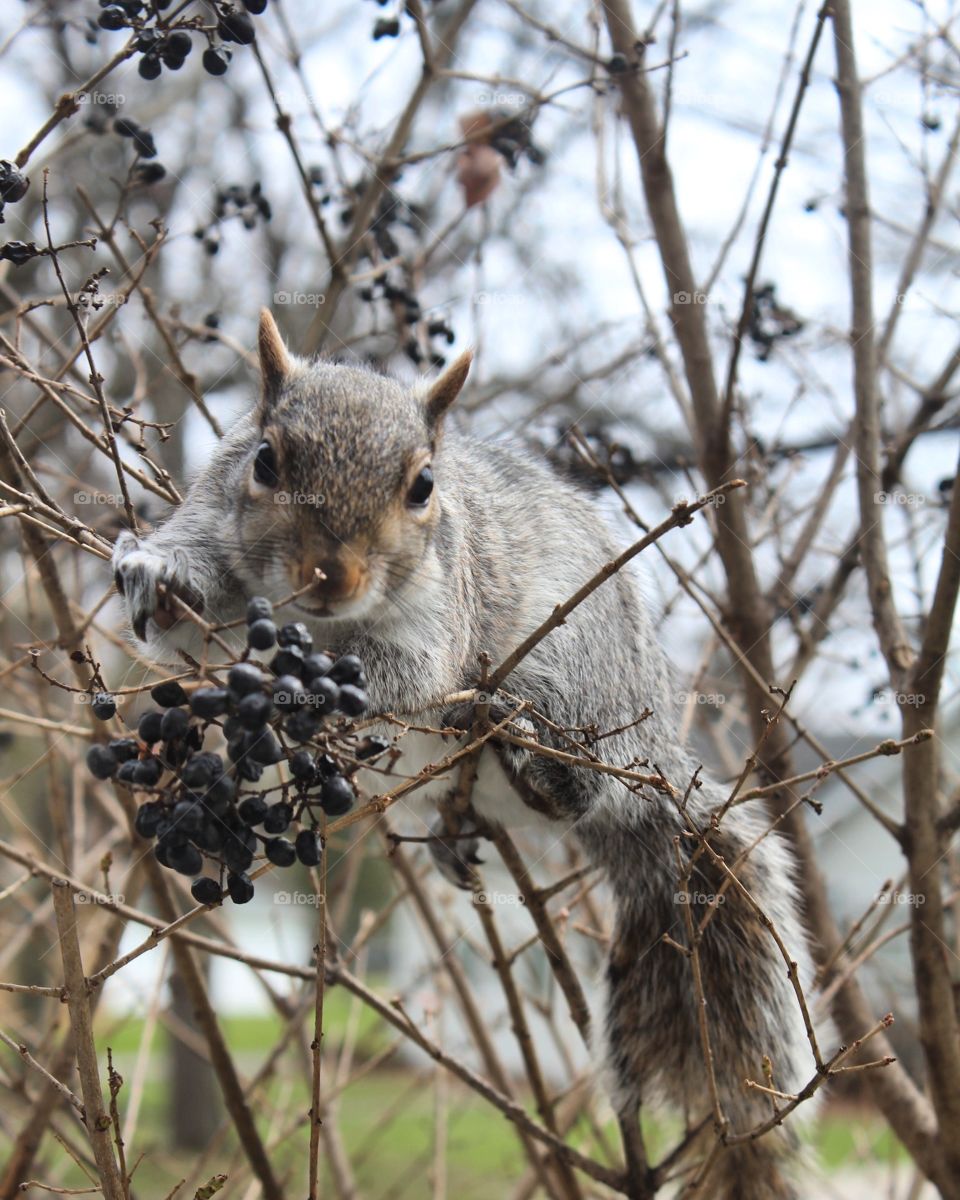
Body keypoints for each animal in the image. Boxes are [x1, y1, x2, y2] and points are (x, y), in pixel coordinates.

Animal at [113, 310, 818, 1200]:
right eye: (265, 460)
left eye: (423, 487)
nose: (331, 576)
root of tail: (651, 756)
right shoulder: (213, 526)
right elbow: (184, 617)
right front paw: (154, 576)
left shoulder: (440, 611)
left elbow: (410, 673)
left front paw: (297, 683)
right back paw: (454, 835)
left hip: (578, 685)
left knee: (575, 783)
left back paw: (531, 755)